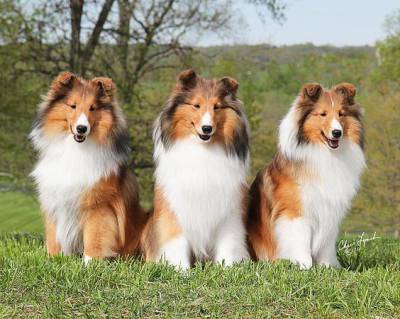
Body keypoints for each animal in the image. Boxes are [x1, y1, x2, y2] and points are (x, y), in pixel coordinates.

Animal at [30, 72, 147, 262]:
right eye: (73, 106)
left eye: (93, 108)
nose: (81, 128)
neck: (76, 149)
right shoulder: (55, 200)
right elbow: (53, 236)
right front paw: (54, 259)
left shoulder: (99, 206)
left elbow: (95, 237)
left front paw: (90, 263)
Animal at [143, 70, 250, 270]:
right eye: (196, 105)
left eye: (217, 107)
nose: (207, 128)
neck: (202, 149)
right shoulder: (176, 208)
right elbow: (177, 242)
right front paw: (181, 270)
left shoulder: (228, 210)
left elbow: (228, 244)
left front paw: (227, 268)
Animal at [247, 83, 366, 270]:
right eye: (323, 114)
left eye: (341, 114)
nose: (337, 133)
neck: (325, 153)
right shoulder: (295, 212)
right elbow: (300, 240)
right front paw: (304, 265)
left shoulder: (330, 211)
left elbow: (326, 244)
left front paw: (328, 266)